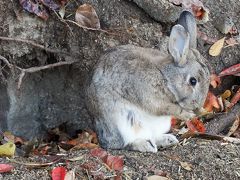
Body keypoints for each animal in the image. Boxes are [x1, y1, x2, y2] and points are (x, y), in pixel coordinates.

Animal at [86, 10, 210, 152]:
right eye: (193, 81)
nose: (197, 107)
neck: (166, 77)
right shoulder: (152, 98)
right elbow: (164, 108)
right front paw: (187, 115)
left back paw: (168, 140)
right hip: (121, 123)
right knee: (120, 144)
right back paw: (145, 145)